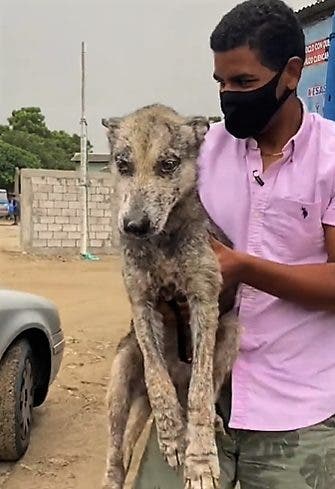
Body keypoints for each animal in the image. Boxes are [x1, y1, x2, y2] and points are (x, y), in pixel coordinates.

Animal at [101, 104, 240, 488]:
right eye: (122, 165)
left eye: (168, 164)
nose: (133, 227)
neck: (162, 241)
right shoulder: (142, 303)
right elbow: (156, 377)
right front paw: (172, 436)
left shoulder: (204, 300)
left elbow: (201, 392)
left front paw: (200, 459)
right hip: (121, 377)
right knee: (116, 449)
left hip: (233, 332)